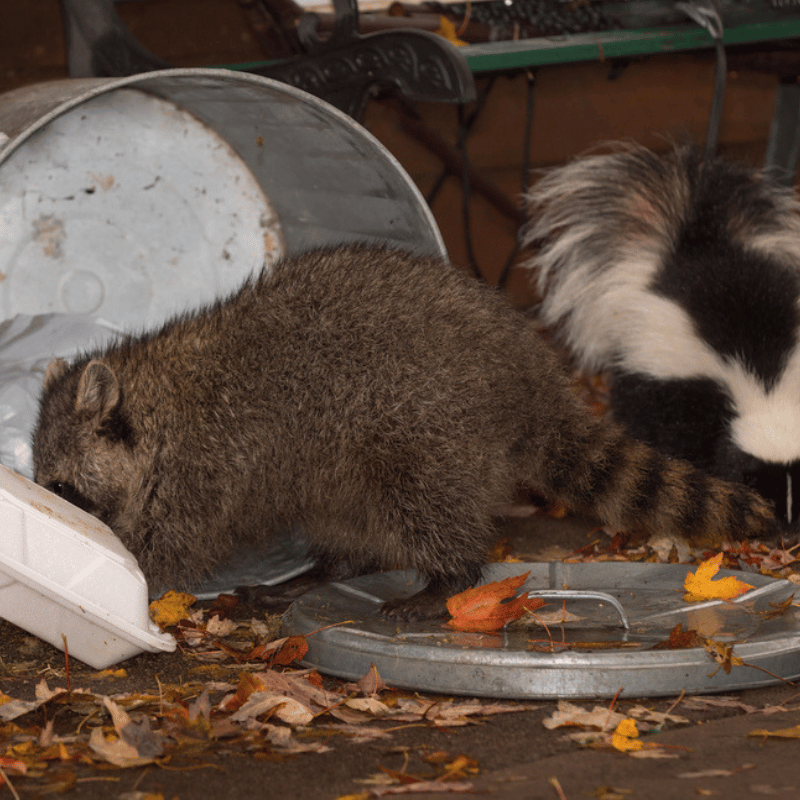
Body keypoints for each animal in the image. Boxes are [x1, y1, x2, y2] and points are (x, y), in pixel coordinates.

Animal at [34, 244, 780, 620]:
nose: (47, 509)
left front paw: (120, 564)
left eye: (61, 487)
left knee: (421, 501)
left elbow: (171, 544)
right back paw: (327, 569)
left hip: (425, 423)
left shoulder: (202, 467)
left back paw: (449, 576)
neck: (154, 397)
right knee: (341, 511)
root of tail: (532, 377)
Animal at [520, 144, 800, 528]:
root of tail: (694, 248)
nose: (787, 527)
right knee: (639, 410)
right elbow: (711, 448)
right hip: (643, 370)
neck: (766, 386)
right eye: (757, 480)